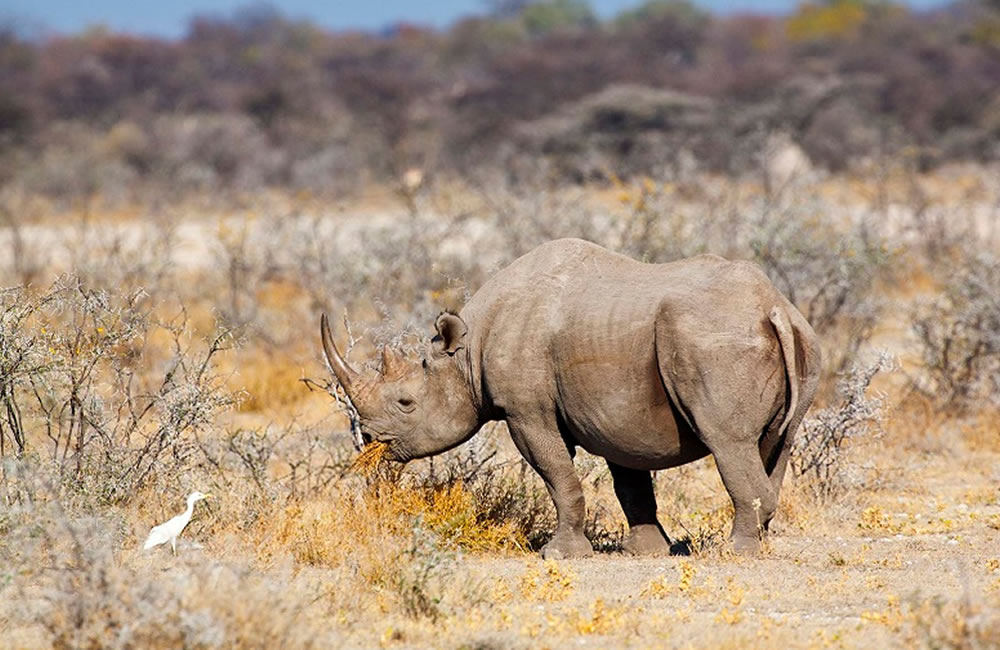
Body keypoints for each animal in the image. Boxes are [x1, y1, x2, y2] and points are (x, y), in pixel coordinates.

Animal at [321, 238, 820, 558]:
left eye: (406, 403)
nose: (370, 442)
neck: (467, 350)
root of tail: (771, 305)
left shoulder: (525, 412)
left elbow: (558, 476)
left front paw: (558, 555)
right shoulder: (615, 410)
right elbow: (631, 483)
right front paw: (646, 552)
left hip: (714, 339)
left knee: (727, 441)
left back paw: (734, 554)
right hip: (802, 339)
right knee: (776, 443)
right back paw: (758, 542)